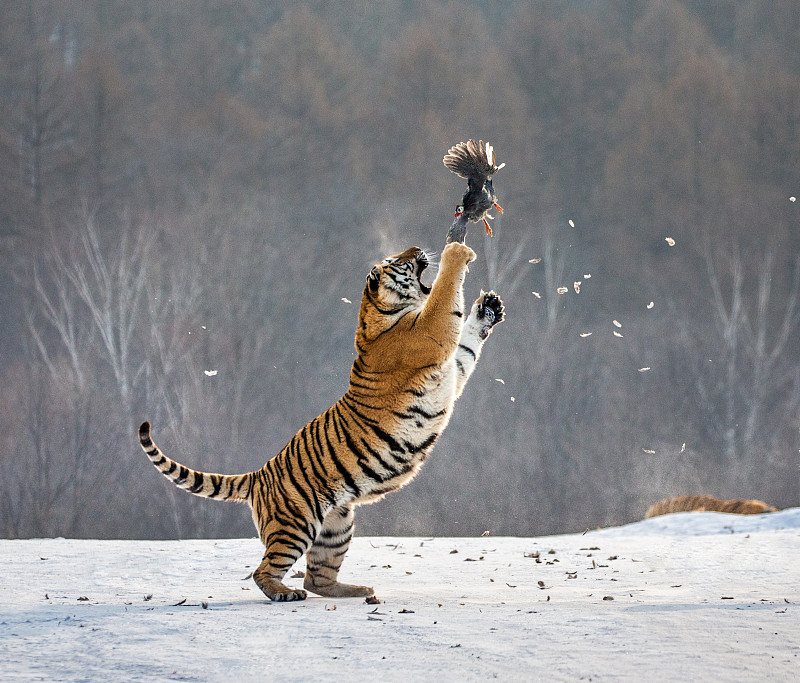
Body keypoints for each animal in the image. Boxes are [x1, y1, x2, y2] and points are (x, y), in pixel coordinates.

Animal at [137, 242, 500, 604]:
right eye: (396, 259)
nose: (416, 247)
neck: (381, 311)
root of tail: (259, 475)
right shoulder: (430, 332)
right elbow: (445, 293)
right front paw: (457, 252)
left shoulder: (451, 369)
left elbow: (467, 347)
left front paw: (488, 308)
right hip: (295, 526)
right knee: (264, 571)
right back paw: (285, 593)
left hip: (336, 526)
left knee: (318, 579)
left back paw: (354, 590)